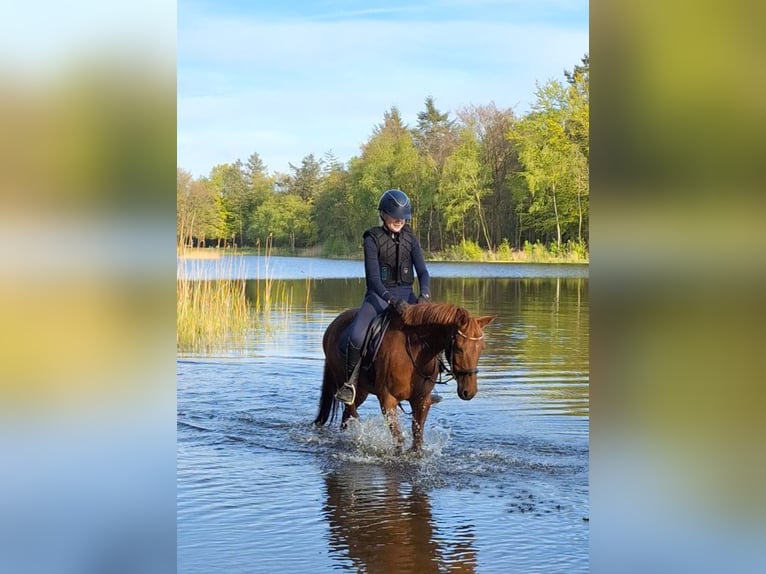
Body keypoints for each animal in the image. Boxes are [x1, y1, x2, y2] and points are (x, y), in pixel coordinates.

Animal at [314, 302, 498, 454]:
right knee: (351, 412)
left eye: (482, 348)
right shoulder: (388, 400)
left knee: (346, 416)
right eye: (459, 348)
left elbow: (417, 439)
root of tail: (333, 324)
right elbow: (399, 438)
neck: (415, 352)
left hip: (362, 392)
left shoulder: (421, 401)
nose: (469, 392)